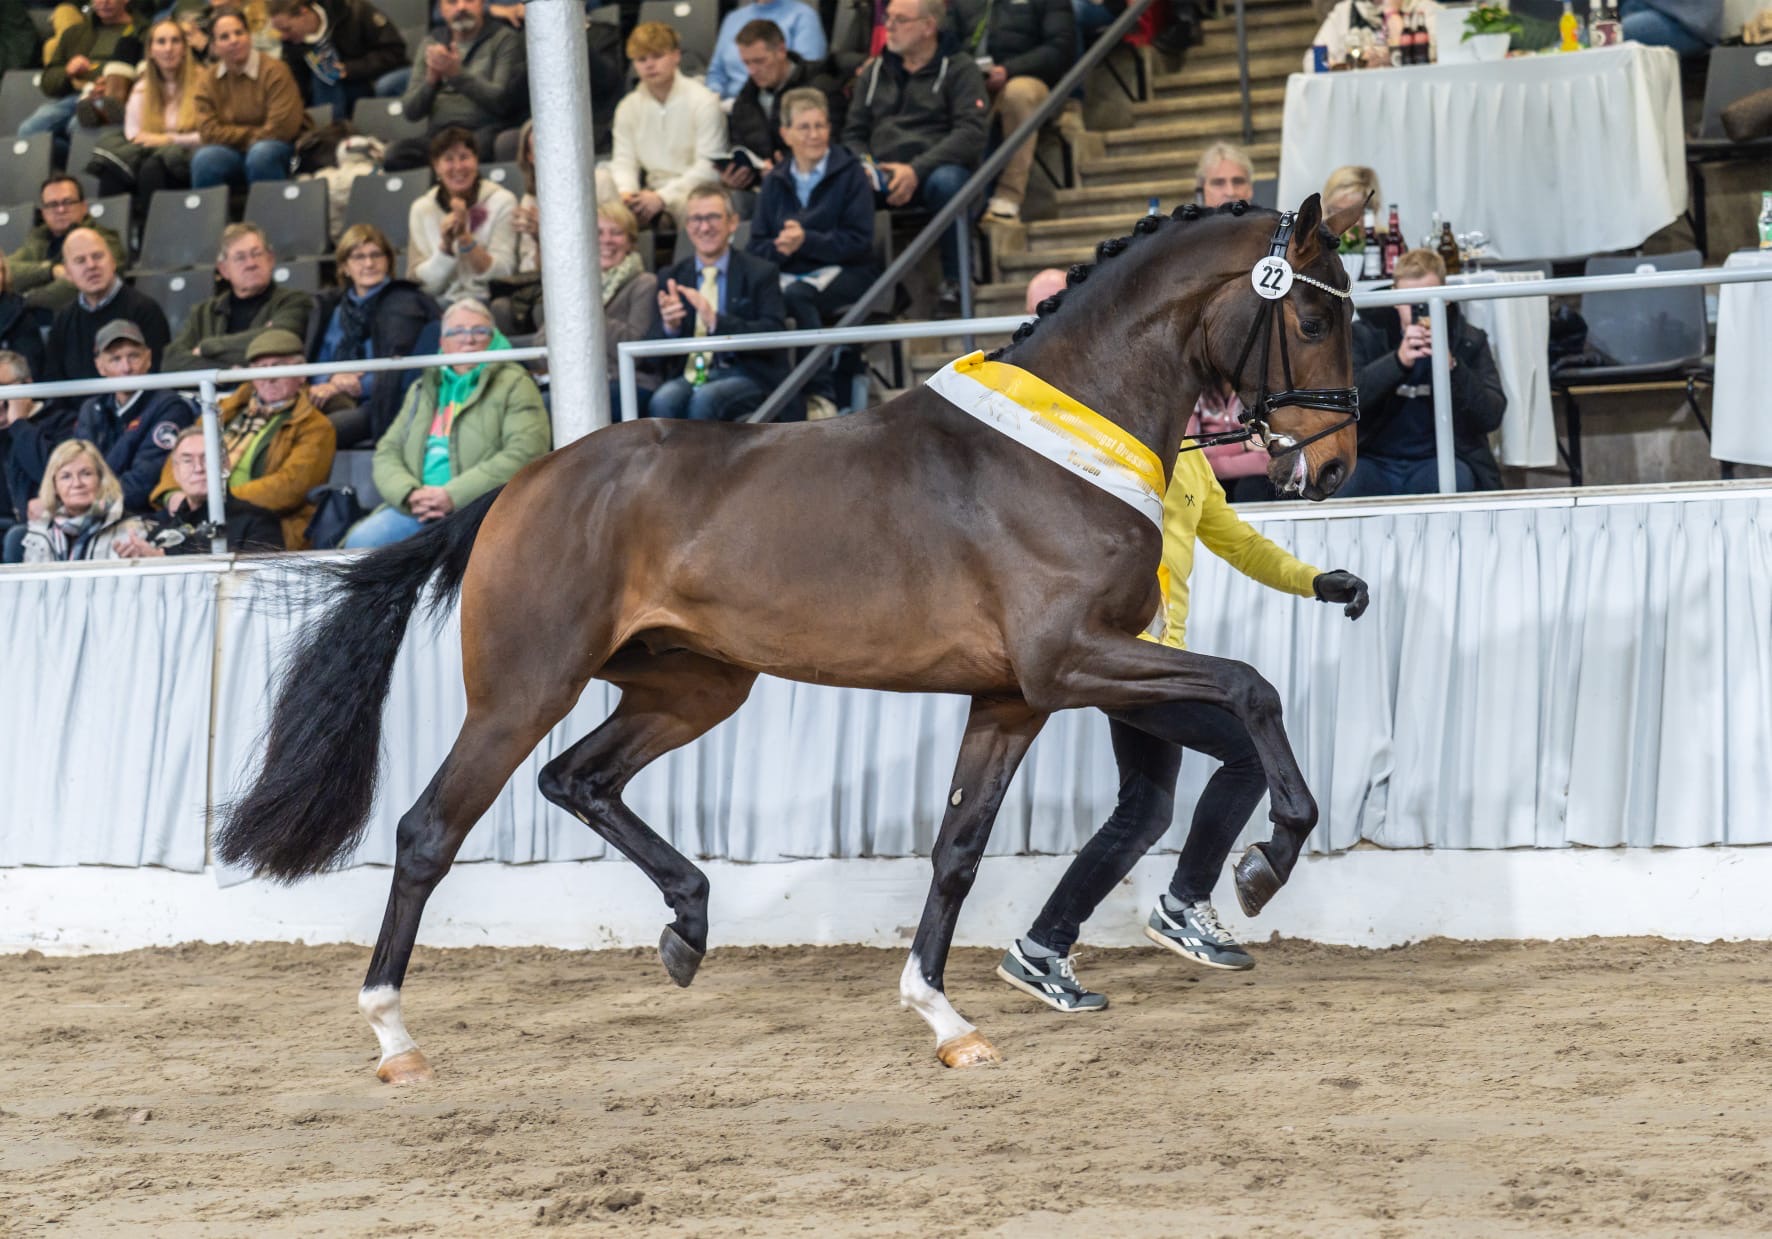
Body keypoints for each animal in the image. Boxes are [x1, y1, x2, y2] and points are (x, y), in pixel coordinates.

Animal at [218, 193, 1366, 1082]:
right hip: (522, 690)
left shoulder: (1013, 696)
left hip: (693, 687)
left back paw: (687, 926)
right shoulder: (1069, 660)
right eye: (1312, 313)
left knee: (578, 779)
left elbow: (957, 849)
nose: (1337, 457)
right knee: (428, 830)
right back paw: (394, 1036)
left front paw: (944, 1018)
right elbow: (1251, 685)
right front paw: (1266, 862)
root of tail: (511, 490)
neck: (1064, 445)